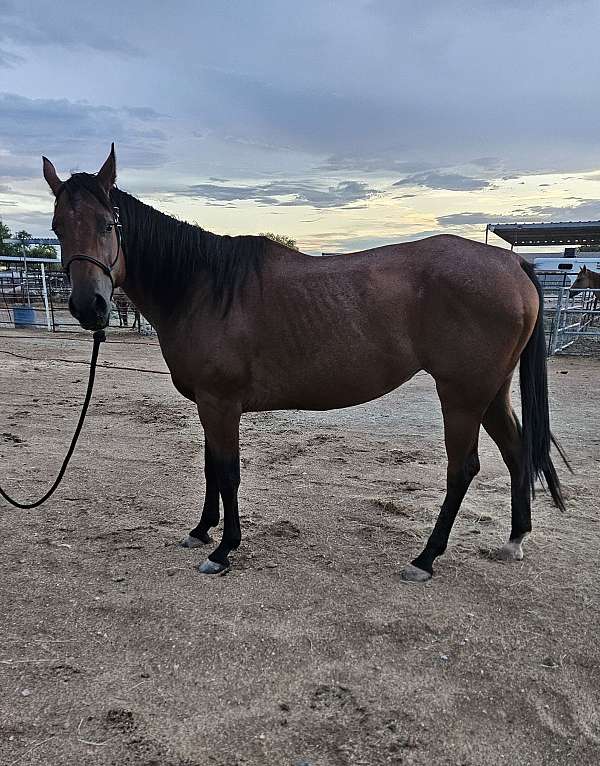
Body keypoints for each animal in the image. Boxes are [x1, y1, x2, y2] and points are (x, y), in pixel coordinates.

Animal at [42, 146, 568, 584]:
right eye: (58, 229)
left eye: (108, 224)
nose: (88, 306)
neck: (204, 286)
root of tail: (511, 264)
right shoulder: (208, 405)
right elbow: (211, 467)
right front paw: (201, 530)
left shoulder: (221, 403)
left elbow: (227, 472)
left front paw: (223, 550)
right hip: (490, 391)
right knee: (517, 452)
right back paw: (514, 540)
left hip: (461, 395)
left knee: (463, 469)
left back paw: (425, 558)